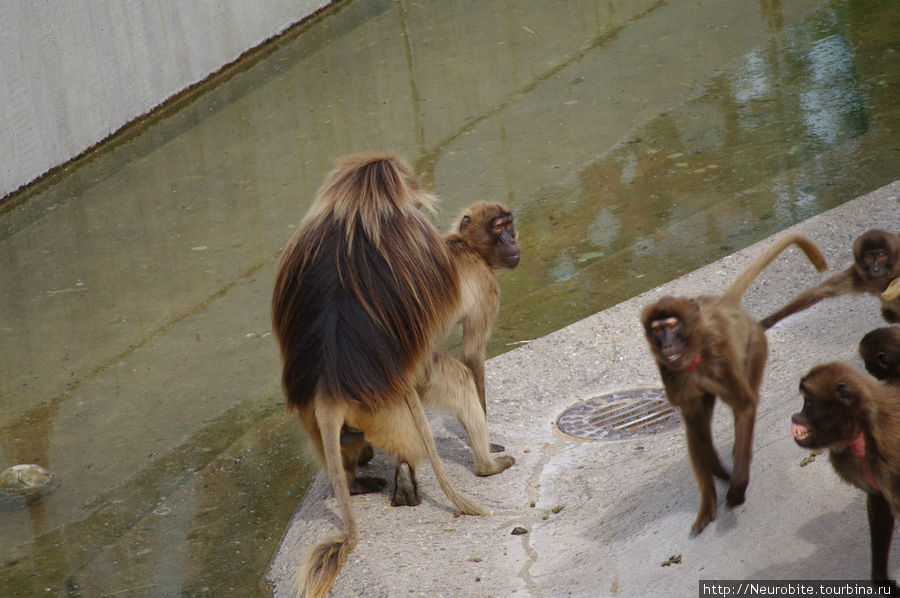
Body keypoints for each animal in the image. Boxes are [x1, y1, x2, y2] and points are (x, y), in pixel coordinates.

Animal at [644, 233, 828, 536]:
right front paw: (712, 491)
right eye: (658, 330)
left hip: (755, 346)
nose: (667, 345)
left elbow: (744, 406)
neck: (694, 355)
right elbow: (695, 424)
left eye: (671, 325)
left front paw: (736, 487)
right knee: (699, 422)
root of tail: (727, 304)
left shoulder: (720, 358)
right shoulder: (673, 373)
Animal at [760, 230, 900, 330]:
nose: (876, 268)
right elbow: (820, 291)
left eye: (882, 255)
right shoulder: (858, 277)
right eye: (869, 257)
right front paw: (768, 321)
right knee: (888, 315)